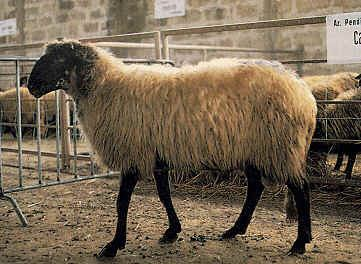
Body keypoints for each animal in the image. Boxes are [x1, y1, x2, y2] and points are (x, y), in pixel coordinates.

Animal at [27, 40, 316, 258]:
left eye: (58, 59)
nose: (30, 86)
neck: (106, 86)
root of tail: (303, 91)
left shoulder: (134, 153)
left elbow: (122, 202)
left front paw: (113, 245)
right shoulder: (157, 156)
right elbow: (164, 195)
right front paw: (172, 231)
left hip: (280, 147)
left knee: (301, 189)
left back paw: (300, 242)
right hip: (256, 149)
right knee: (256, 188)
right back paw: (234, 230)